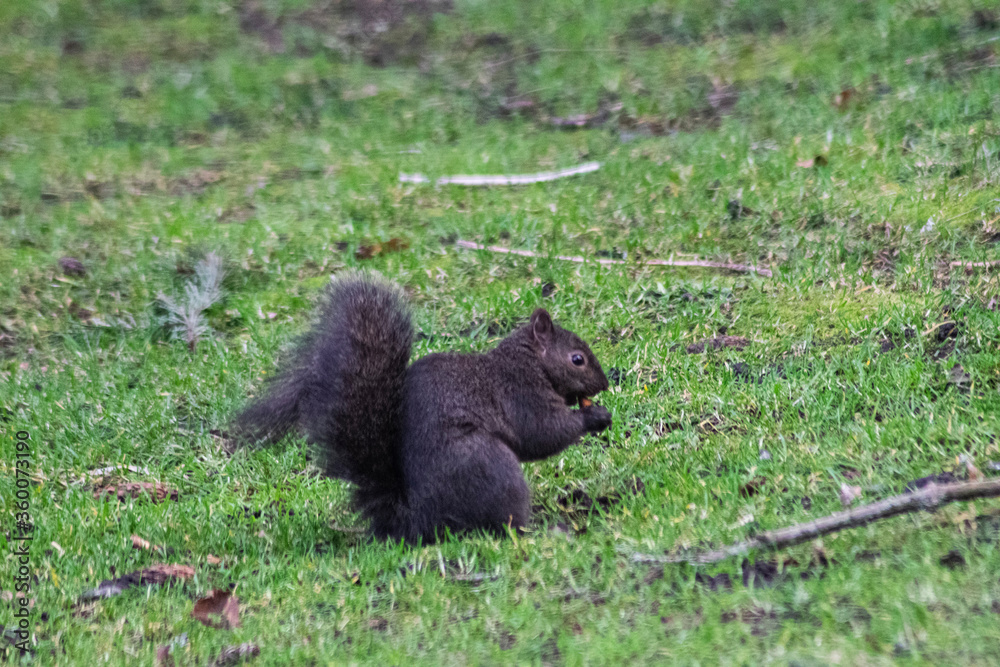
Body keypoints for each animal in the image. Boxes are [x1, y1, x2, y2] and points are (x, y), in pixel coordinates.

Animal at [234, 271, 612, 542]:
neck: (529, 361)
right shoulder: (520, 393)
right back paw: (544, 530)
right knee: (504, 525)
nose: (605, 384)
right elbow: (542, 433)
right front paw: (593, 416)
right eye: (577, 359)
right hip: (489, 465)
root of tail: (419, 519)